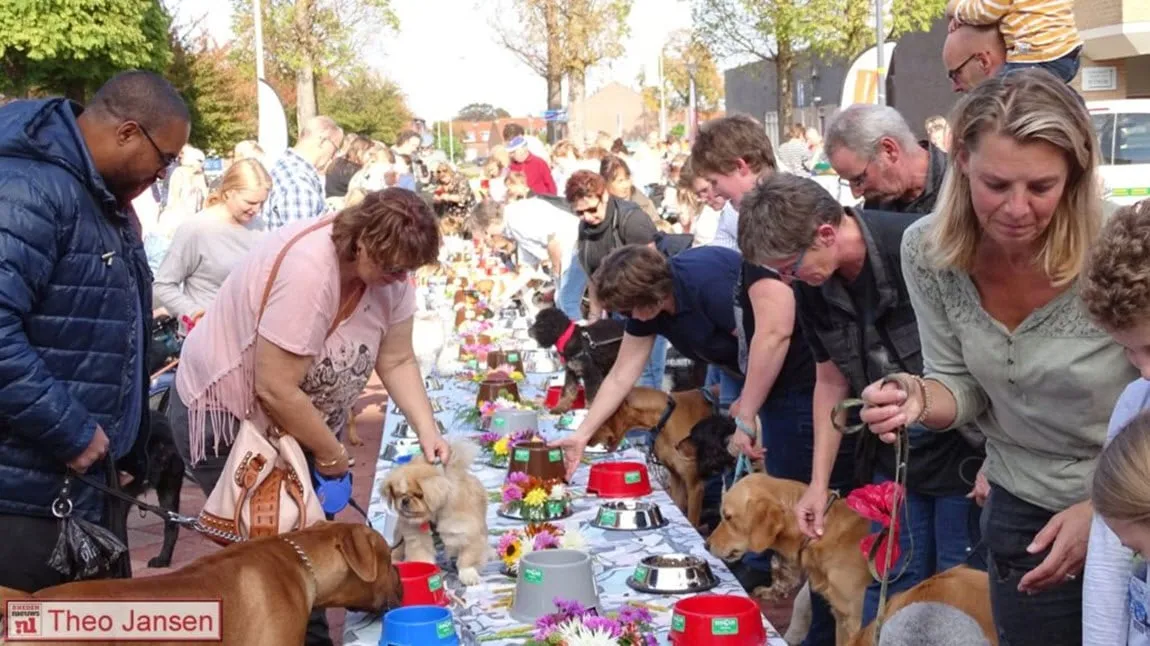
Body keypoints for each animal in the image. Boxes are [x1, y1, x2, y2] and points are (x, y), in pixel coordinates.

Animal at [381, 436, 489, 583]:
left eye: (419, 495)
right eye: (398, 494)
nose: (405, 500)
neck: (434, 515)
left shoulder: (468, 532)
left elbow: (467, 559)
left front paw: (468, 575)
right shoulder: (418, 539)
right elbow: (423, 558)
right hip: (399, 534)